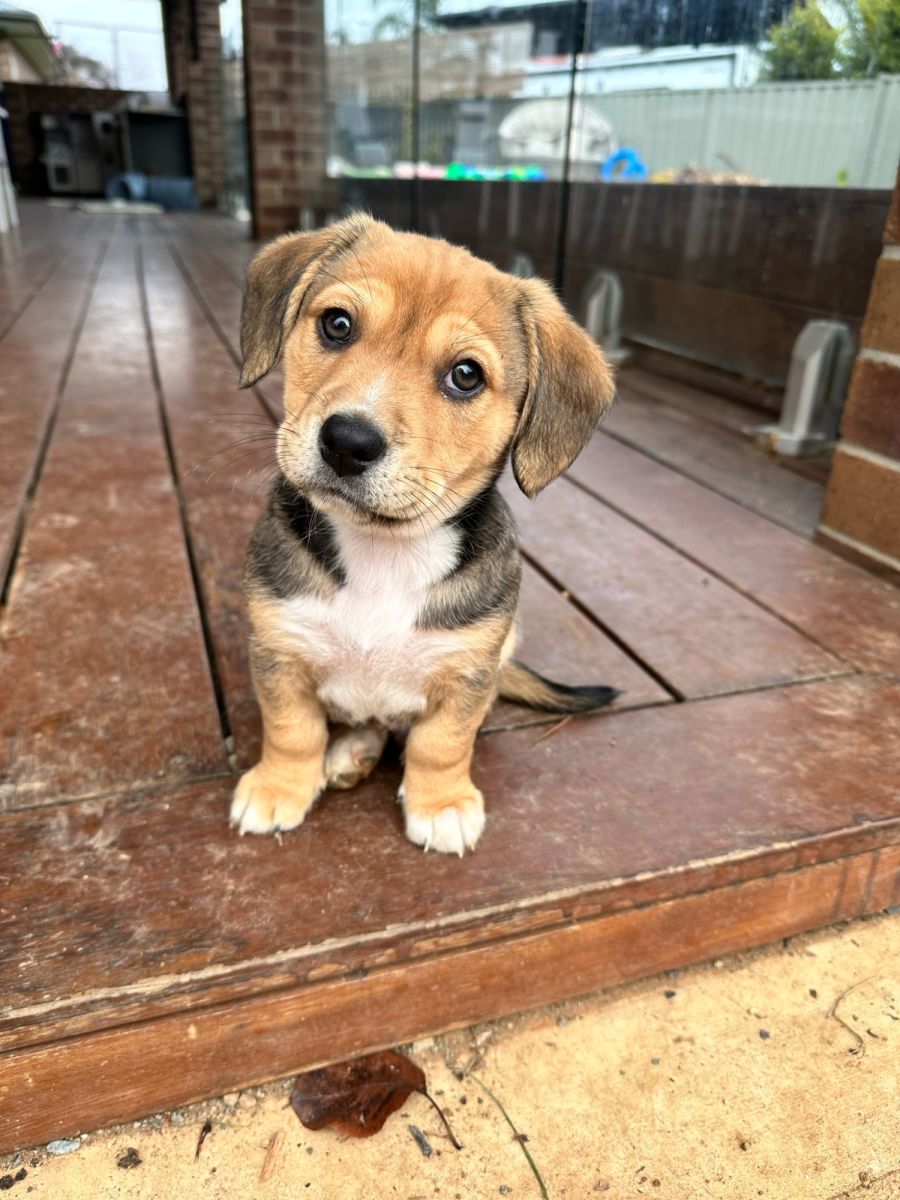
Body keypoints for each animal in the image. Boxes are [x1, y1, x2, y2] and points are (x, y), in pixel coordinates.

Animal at [230, 213, 617, 855]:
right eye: (337, 324)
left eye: (465, 375)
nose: (347, 442)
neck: (382, 553)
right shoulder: (280, 648)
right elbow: (291, 729)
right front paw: (279, 787)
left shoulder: (468, 673)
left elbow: (442, 744)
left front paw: (441, 804)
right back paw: (350, 754)